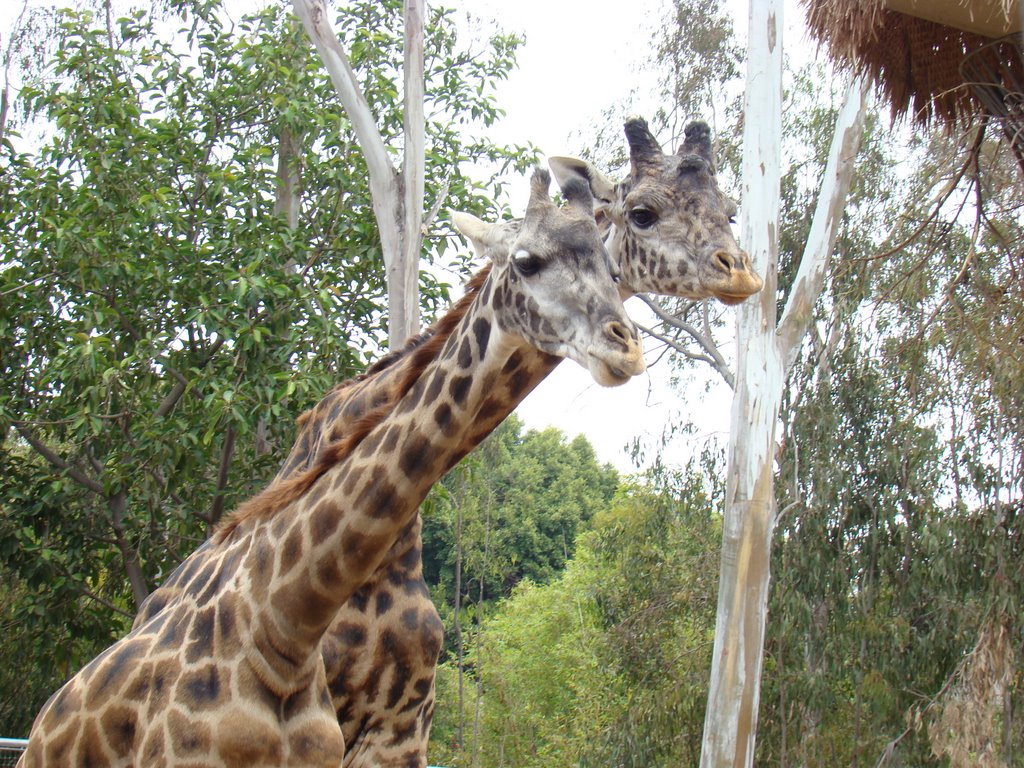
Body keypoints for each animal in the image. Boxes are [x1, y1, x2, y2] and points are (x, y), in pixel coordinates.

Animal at [18, 169, 647, 768]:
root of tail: (42, 722)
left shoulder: (391, 733)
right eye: (527, 261)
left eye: (612, 266)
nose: (626, 348)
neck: (281, 630)